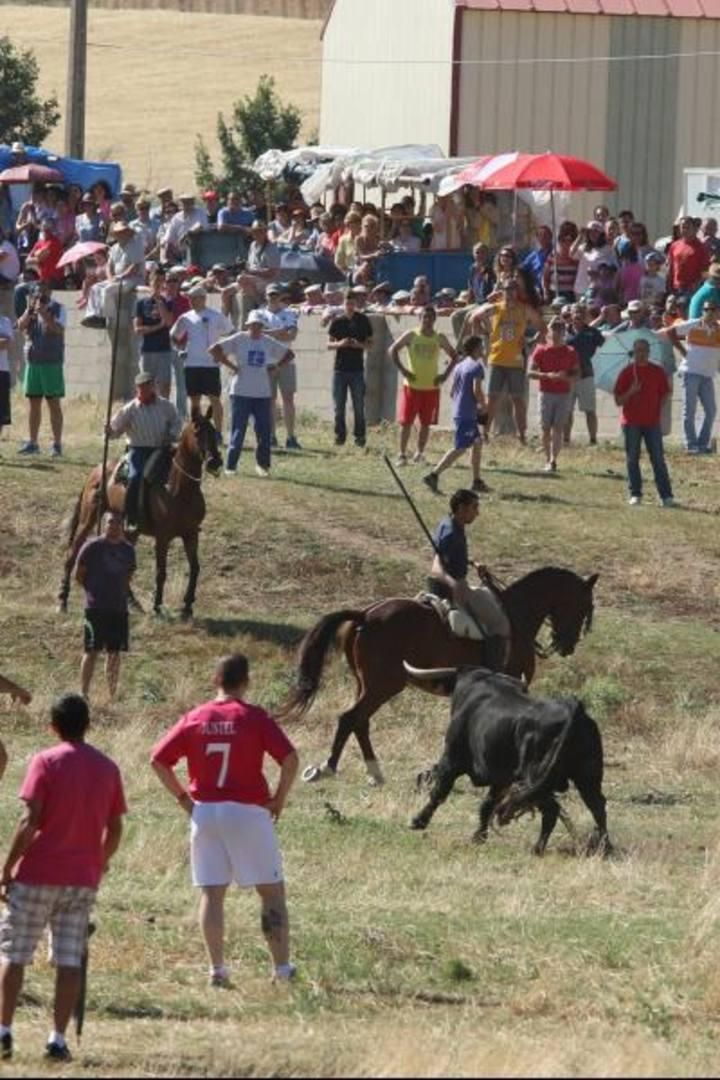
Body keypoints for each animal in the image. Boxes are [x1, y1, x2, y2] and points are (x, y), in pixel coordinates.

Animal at [57, 408, 222, 622]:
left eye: (214, 431)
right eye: (197, 432)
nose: (215, 461)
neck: (178, 488)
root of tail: (97, 470)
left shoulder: (191, 533)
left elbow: (195, 568)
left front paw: (187, 607)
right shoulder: (163, 537)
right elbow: (161, 571)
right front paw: (158, 607)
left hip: (129, 530)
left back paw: (132, 602)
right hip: (88, 519)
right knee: (72, 552)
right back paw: (63, 600)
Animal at [278, 570, 600, 790]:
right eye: (584, 606)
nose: (568, 645)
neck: (516, 615)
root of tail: (365, 615)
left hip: (366, 684)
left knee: (360, 721)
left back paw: (374, 773)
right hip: (384, 685)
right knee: (350, 718)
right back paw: (330, 768)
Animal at [408, 660, 613, 855]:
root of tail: (573, 709)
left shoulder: (450, 761)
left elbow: (438, 793)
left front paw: (418, 821)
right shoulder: (500, 779)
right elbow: (487, 804)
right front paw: (479, 836)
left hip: (537, 779)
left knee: (552, 810)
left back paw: (537, 848)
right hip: (587, 777)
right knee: (597, 806)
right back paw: (605, 846)